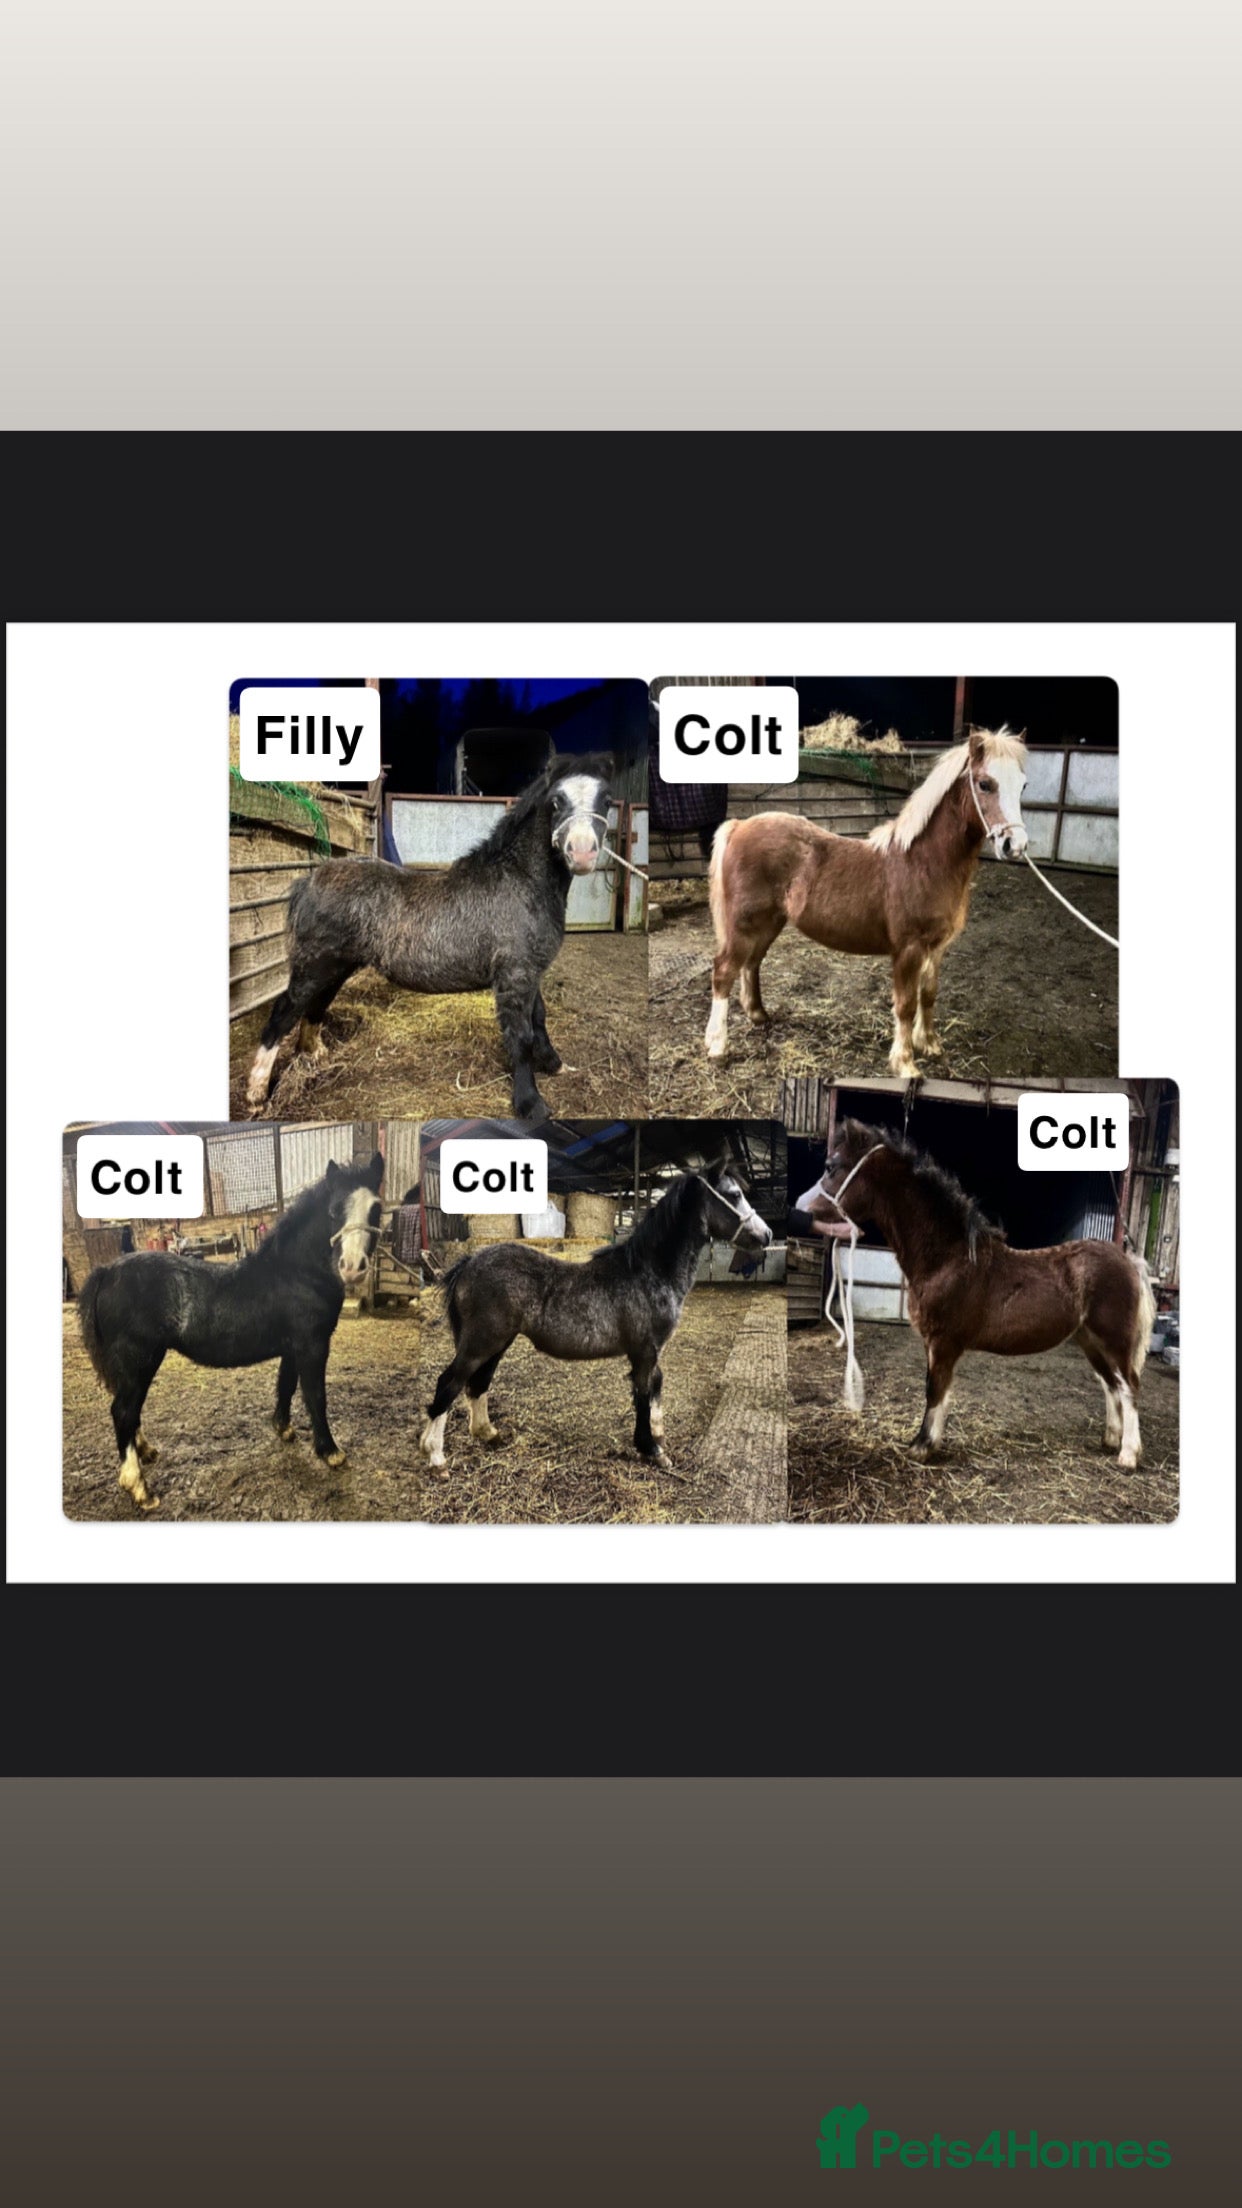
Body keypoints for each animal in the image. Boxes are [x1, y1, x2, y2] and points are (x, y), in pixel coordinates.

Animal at [77, 1154, 385, 1509]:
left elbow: (286, 1385)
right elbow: (315, 1396)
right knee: (123, 1411)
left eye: (376, 1208)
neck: (295, 1273)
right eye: (334, 1210)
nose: (352, 1267)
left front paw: (283, 1429)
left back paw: (146, 1452)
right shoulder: (312, 1345)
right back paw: (140, 1488)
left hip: (132, 1366)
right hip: (139, 1359)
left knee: (129, 1408)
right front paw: (331, 1452)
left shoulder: (293, 1346)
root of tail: (106, 1272)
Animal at [246, 753, 616, 1122]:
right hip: (315, 965)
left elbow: (539, 1018)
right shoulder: (515, 975)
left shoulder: (530, 971)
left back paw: (313, 1056)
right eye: (557, 800)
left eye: (606, 799)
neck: (520, 880)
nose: (582, 852)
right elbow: (521, 1034)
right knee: (283, 1013)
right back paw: (257, 1094)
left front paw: (554, 1064)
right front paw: (530, 1104)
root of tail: (309, 880)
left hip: (337, 966)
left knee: (315, 1005)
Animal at [419, 1162, 773, 1475]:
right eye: (734, 1195)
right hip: (481, 1343)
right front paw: (651, 1449)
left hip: (497, 1343)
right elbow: (643, 1393)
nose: (767, 1235)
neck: (648, 1271)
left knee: (478, 1384)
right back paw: (436, 1457)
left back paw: (487, 1433)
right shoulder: (644, 1352)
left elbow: (656, 1386)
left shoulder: (653, 1350)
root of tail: (468, 1262)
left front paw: (658, 1435)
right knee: (449, 1384)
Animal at [705, 728, 1030, 1077]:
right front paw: (905, 1064)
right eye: (985, 784)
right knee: (724, 970)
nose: (1015, 845)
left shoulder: (937, 948)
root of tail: (739, 826)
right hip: (744, 925)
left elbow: (928, 995)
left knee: (752, 963)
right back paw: (717, 1046)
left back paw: (758, 1015)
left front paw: (930, 1045)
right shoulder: (909, 949)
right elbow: (905, 1005)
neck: (924, 863)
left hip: (769, 923)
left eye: (1023, 785)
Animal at [796, 1120, 1155, 1467]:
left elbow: (934, 1390)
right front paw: (931, 1442)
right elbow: (941, 1391)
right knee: (1110, 1384)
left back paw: (1128, 1455)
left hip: (1113, 1340)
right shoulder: (936, 1344)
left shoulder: (943, 1342)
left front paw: (922, 1447)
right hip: (1089, 1340)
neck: (949, 1258)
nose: (802, 1207)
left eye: (831, 1166)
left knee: (1129, 1386)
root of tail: (1128, 1260)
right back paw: (1111, 1439)